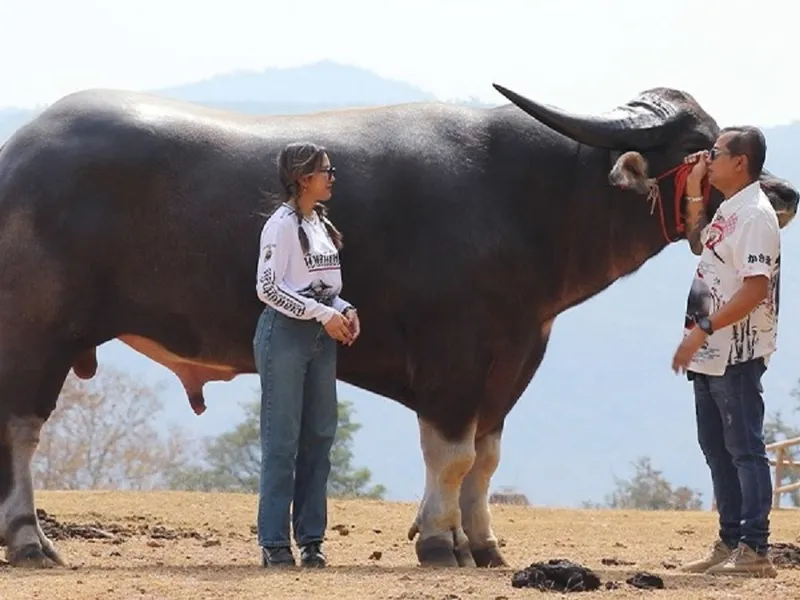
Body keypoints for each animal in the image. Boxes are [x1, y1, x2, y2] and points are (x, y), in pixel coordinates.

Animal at [0, 83, 792, 568]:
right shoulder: (452, 361)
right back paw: (29, 540)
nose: (781, 193)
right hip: (35, 336)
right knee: (22, 429)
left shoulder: (512, 361)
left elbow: (485, 460)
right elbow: (451, 455)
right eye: (701, 143)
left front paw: (483, 545)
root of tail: (17, 157)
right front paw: (439, 541)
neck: (526, 201)